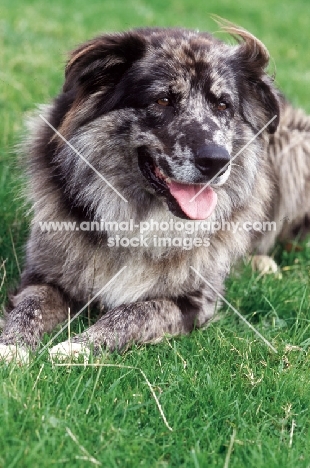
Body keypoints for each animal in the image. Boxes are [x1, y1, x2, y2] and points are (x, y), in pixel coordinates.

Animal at [0, 21, 310, 362]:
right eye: (163, 101)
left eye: (222, 105)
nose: (216, 162)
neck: (141, 215)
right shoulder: (44, 276)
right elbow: (29, 307)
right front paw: (11, 347)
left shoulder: (194, 300)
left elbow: (135, 313)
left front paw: (76, 348)